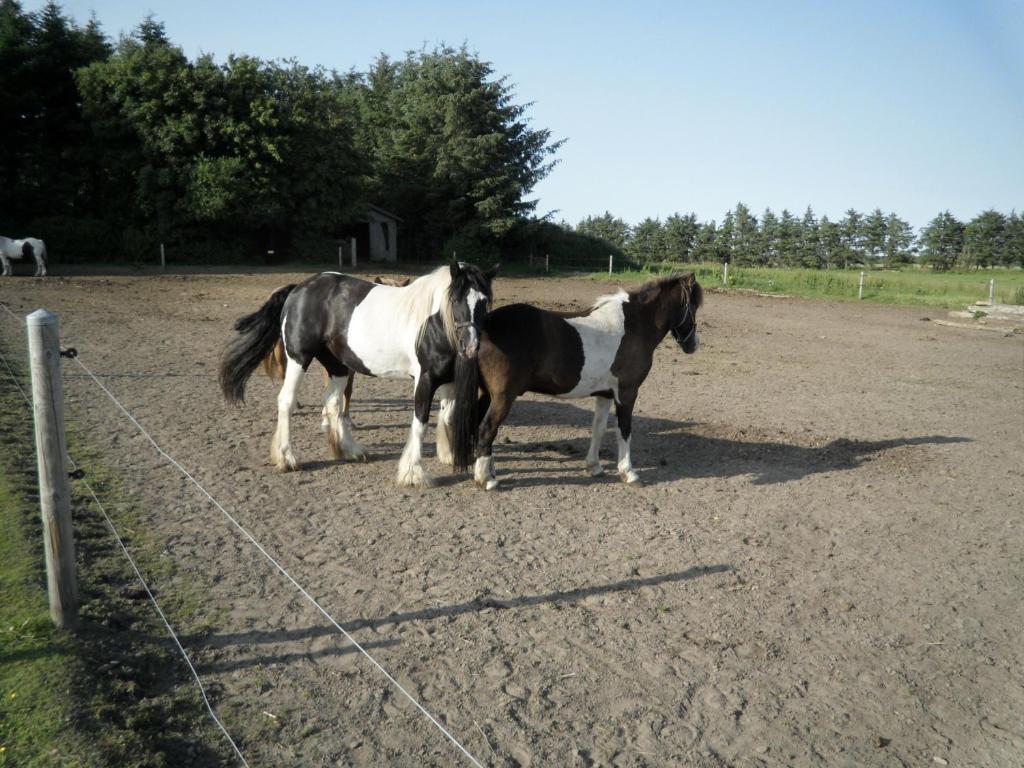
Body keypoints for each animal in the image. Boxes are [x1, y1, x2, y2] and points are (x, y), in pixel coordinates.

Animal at [222, 260, 497, 487]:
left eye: (484, 302)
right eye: (456, 300)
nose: (470, 346)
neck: (434, 323)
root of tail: (299, 288)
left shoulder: (449, 380)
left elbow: (447, 417)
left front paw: (449, 456)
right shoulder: (425, 380)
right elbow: (420, 423)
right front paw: (413, 474)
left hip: (338, 366)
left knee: (333, 403)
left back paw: (349, 450)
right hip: (299, 358)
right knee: (286, 401)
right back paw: (287, 457)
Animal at [473, 274, 704, 489]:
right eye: (693, 306)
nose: (693, 344)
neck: (634, 326)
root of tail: (487, 326)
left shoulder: (605, 394)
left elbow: (598, 429)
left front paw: (594, 466)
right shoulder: (626, 393)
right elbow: (624, 430)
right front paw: (628, 473)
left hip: (487, 394)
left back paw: (490, 472)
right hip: (503, 397)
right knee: (487, 428)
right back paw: (486, 480)